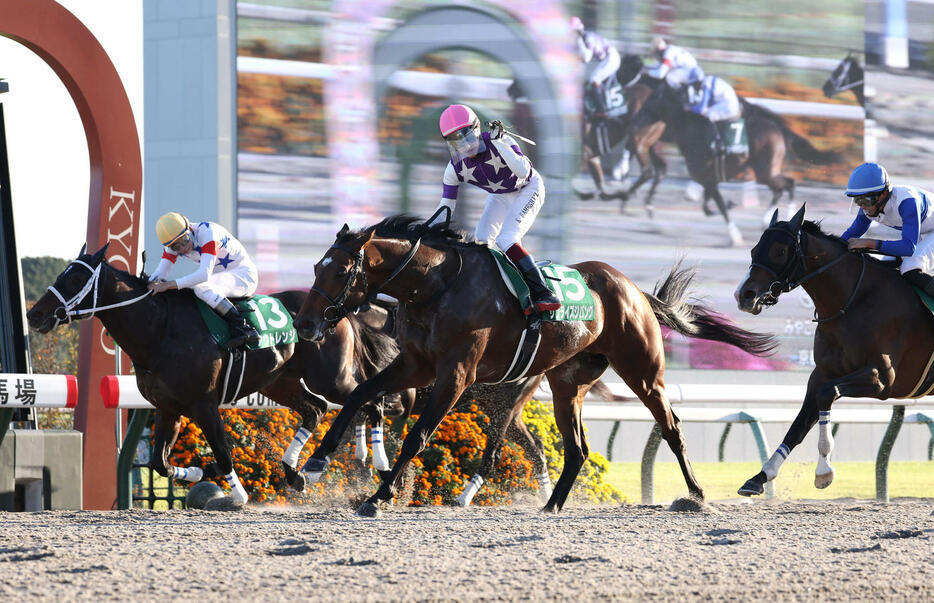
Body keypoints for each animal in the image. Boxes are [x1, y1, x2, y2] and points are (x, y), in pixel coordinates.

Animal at [294, 217, 776, 516]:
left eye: (341, 271)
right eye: (317, 266)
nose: (304, 323)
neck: (436, 286)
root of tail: (635, 290)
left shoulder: (455, 374)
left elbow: (417, 435)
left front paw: (378, 496)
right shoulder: (417, 364)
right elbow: (360, 394)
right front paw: (314, 462)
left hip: (642, 372)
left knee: (672, 428)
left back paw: (696, 496)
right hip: (567, 382)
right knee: (577, 447)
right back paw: (552, 504)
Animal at [740, 208, 934, 496]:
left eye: (780, 251)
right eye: (754, 249)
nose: (744, 295)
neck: (853, 301)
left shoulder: (882, 379)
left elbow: (826, 394)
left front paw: (823, 472)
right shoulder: (822, 373)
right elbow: (798, 425)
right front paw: (760, 477)